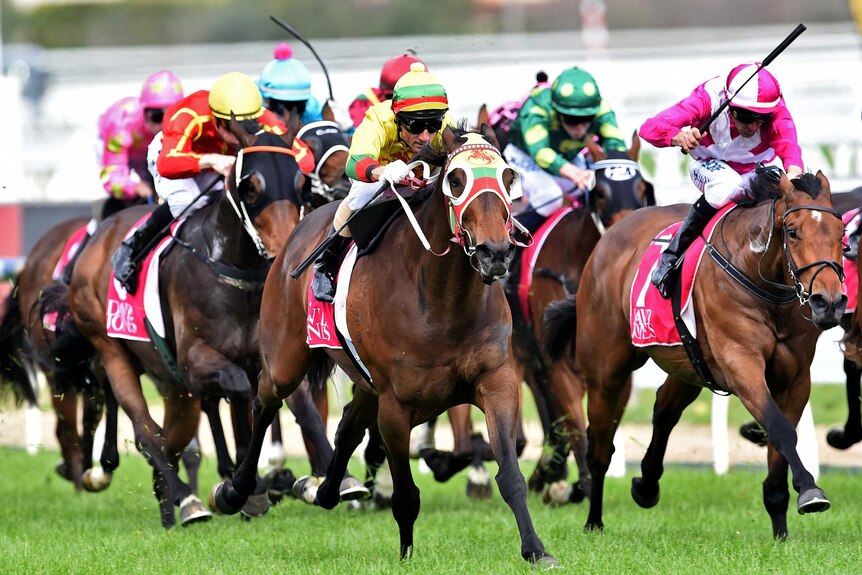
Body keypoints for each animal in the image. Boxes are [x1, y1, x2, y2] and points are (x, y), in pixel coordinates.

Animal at [213, 126, 556, 568]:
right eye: (456, 180)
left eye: (508, 177)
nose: (494, 252)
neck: (441, 301)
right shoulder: (396, 407)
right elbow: (406, 494)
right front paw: (407, 555)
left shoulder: (496, 382)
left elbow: (510, 474)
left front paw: (536, 549)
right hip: (286, 358)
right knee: (265, 400)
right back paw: (236, 491)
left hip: (364, 381)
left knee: (346, 426)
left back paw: (322, 489)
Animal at [552, 169, 848, 536]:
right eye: (792, 232)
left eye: (841, 233)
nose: (829, 302)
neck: (759, 274)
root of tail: (611, 233)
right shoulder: (740, 364)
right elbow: (780, 428)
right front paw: (810, 489)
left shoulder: (795, 379)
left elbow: (780, 444)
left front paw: (781, 528)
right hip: (606, 369)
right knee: (601, 444)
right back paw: (594, 520)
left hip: (689, 364)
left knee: (664, 409)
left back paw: (646, 485)